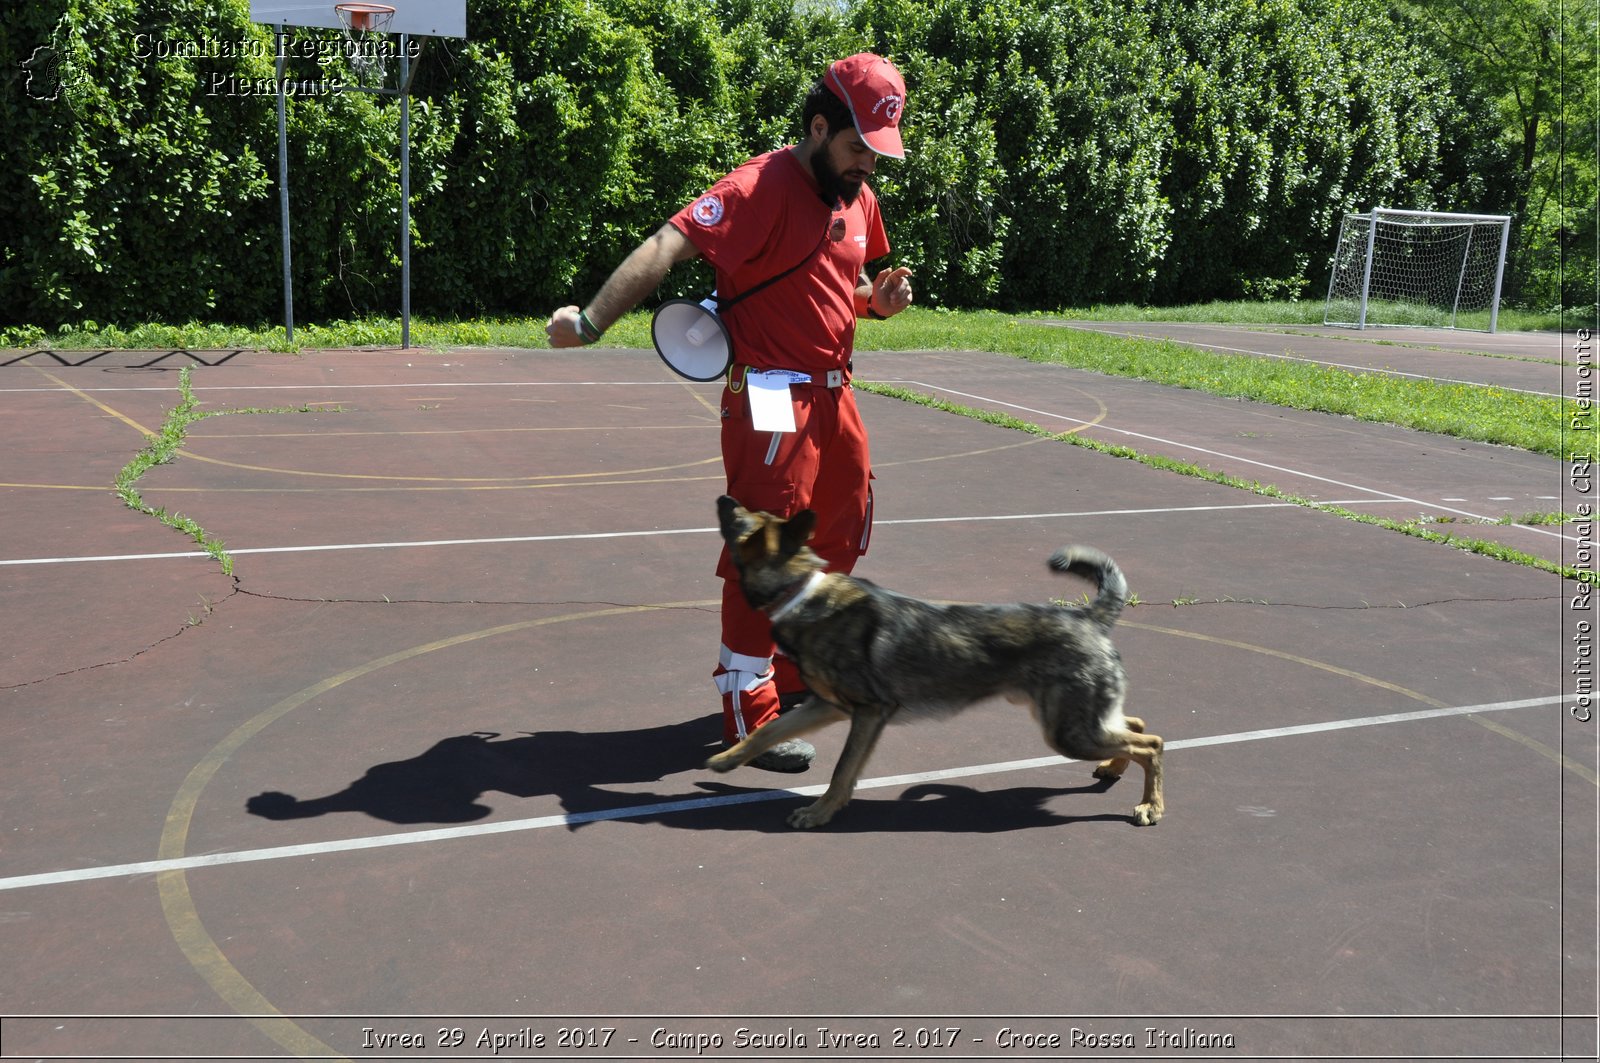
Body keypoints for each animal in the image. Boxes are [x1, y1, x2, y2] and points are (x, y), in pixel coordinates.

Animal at [707, 496, 1158, 832]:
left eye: (743, 521)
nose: (723, 497)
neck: (800, 591)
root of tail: (1088, 617)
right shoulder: (826, 706)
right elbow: (767, 731)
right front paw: (728, 760)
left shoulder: (868, 712)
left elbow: (841, 771)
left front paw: (819, 813)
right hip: (1077, 722)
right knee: (1135, 725)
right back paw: (1113, 769)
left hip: (1068, 734)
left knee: (1151, 744)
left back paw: (1150, 806)